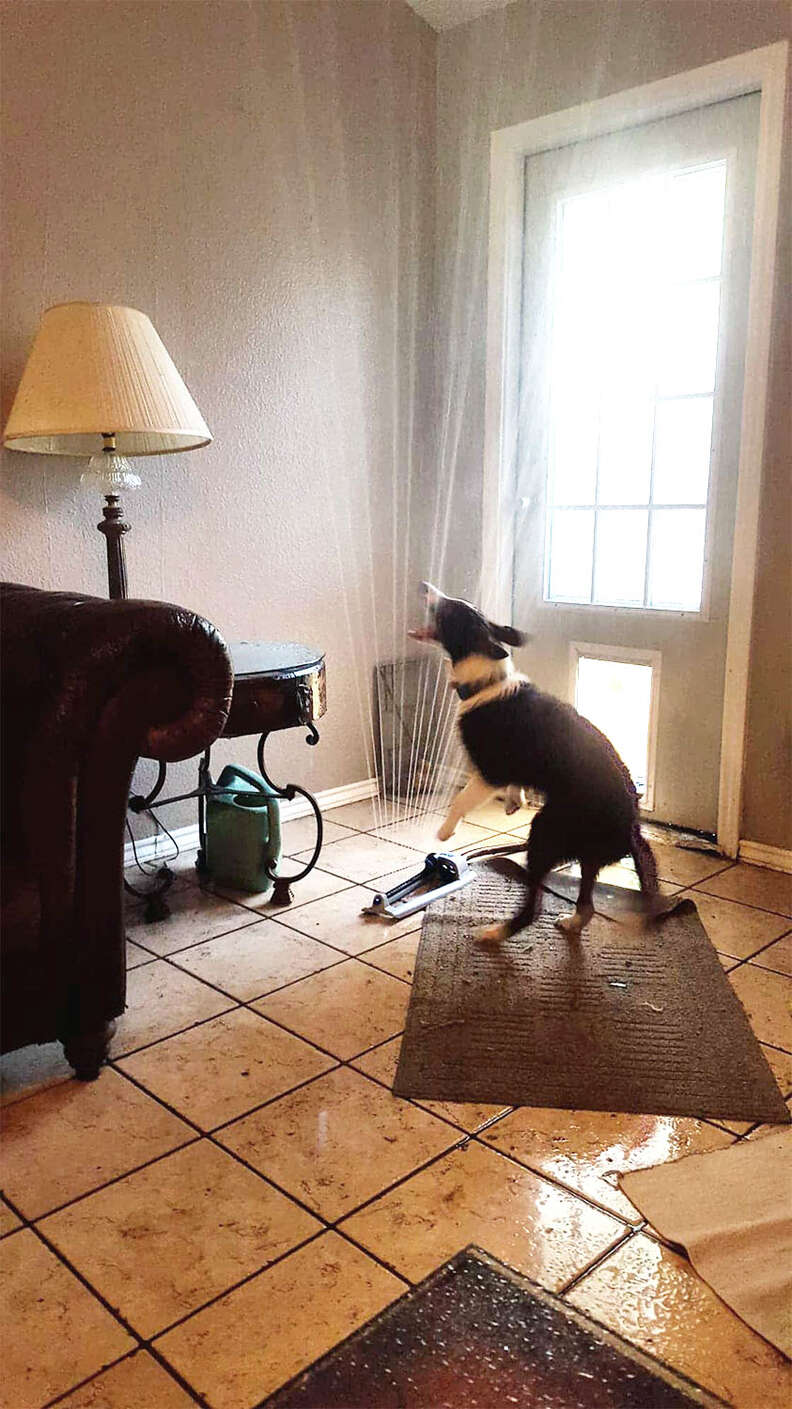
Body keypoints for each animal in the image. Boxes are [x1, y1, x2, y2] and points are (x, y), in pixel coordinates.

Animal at [405, 577, 653, 941]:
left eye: (450, 609)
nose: (423, 585)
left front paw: (445, 832)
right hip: (585, 853)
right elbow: (514, 783)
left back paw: (495, 933)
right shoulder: (514, 767)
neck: (485, 682)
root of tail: (631, 828)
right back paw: (571, 923)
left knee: (532, 907)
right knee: (586, 905)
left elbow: (461, 800)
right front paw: (515, 801)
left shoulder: (489, 770)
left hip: (545, 833)